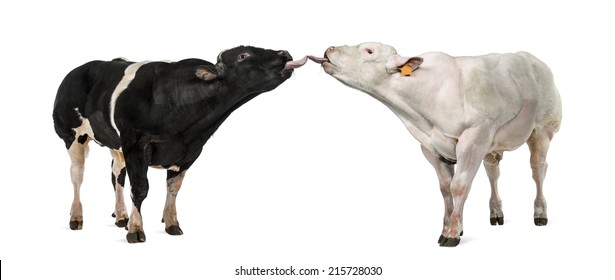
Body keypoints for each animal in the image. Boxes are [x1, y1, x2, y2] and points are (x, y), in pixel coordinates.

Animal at [54, 46, 308, 243]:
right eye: (243, 55)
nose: (284, 53)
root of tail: (79, 69)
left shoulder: (190, 150)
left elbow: (173, 188)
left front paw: (171, 223)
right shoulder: (136, 144)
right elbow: (141, 188)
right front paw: (136, 229)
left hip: (116, 146)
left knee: (116, 175)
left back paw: (121, 216)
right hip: (72, 136)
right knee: (77, 175)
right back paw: (77, 217)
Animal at [312, 42, 564, 246]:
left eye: (369, 50)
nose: (330, 49)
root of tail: (531, 58)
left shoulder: (473, 138)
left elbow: (459, 186)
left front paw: (452, 233)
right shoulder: (431, 146)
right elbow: (445, 188)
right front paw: (450, 227)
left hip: (543, 128)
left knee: (538, 169)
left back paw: (540, 214)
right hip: (493, 143)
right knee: (493, 171)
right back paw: (496, 213)